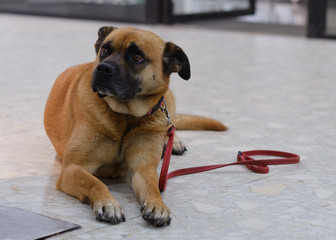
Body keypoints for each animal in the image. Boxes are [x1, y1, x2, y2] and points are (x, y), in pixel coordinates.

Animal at [43, 26, 227, 227]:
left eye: (137, 56)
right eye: (105, 51)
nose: (103, 68)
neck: (126, 116)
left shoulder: (142, 167)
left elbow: (153, 186)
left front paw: (158, 205)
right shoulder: (73, 168)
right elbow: (95, 182)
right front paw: (108, 203)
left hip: (168, 101)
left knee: (170, 125)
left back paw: (173, 142)